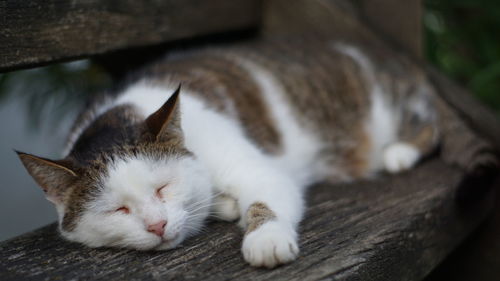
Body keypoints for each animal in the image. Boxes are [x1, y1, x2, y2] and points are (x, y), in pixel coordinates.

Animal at [16, 37, 438, 266]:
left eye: (163, 187)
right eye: (118, 209)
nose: (157, 225)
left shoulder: (255, 167)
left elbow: (264, 197)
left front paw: (265, 238)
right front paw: (222, 205)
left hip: (388, 107)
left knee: (430, 128)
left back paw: (399, 152)